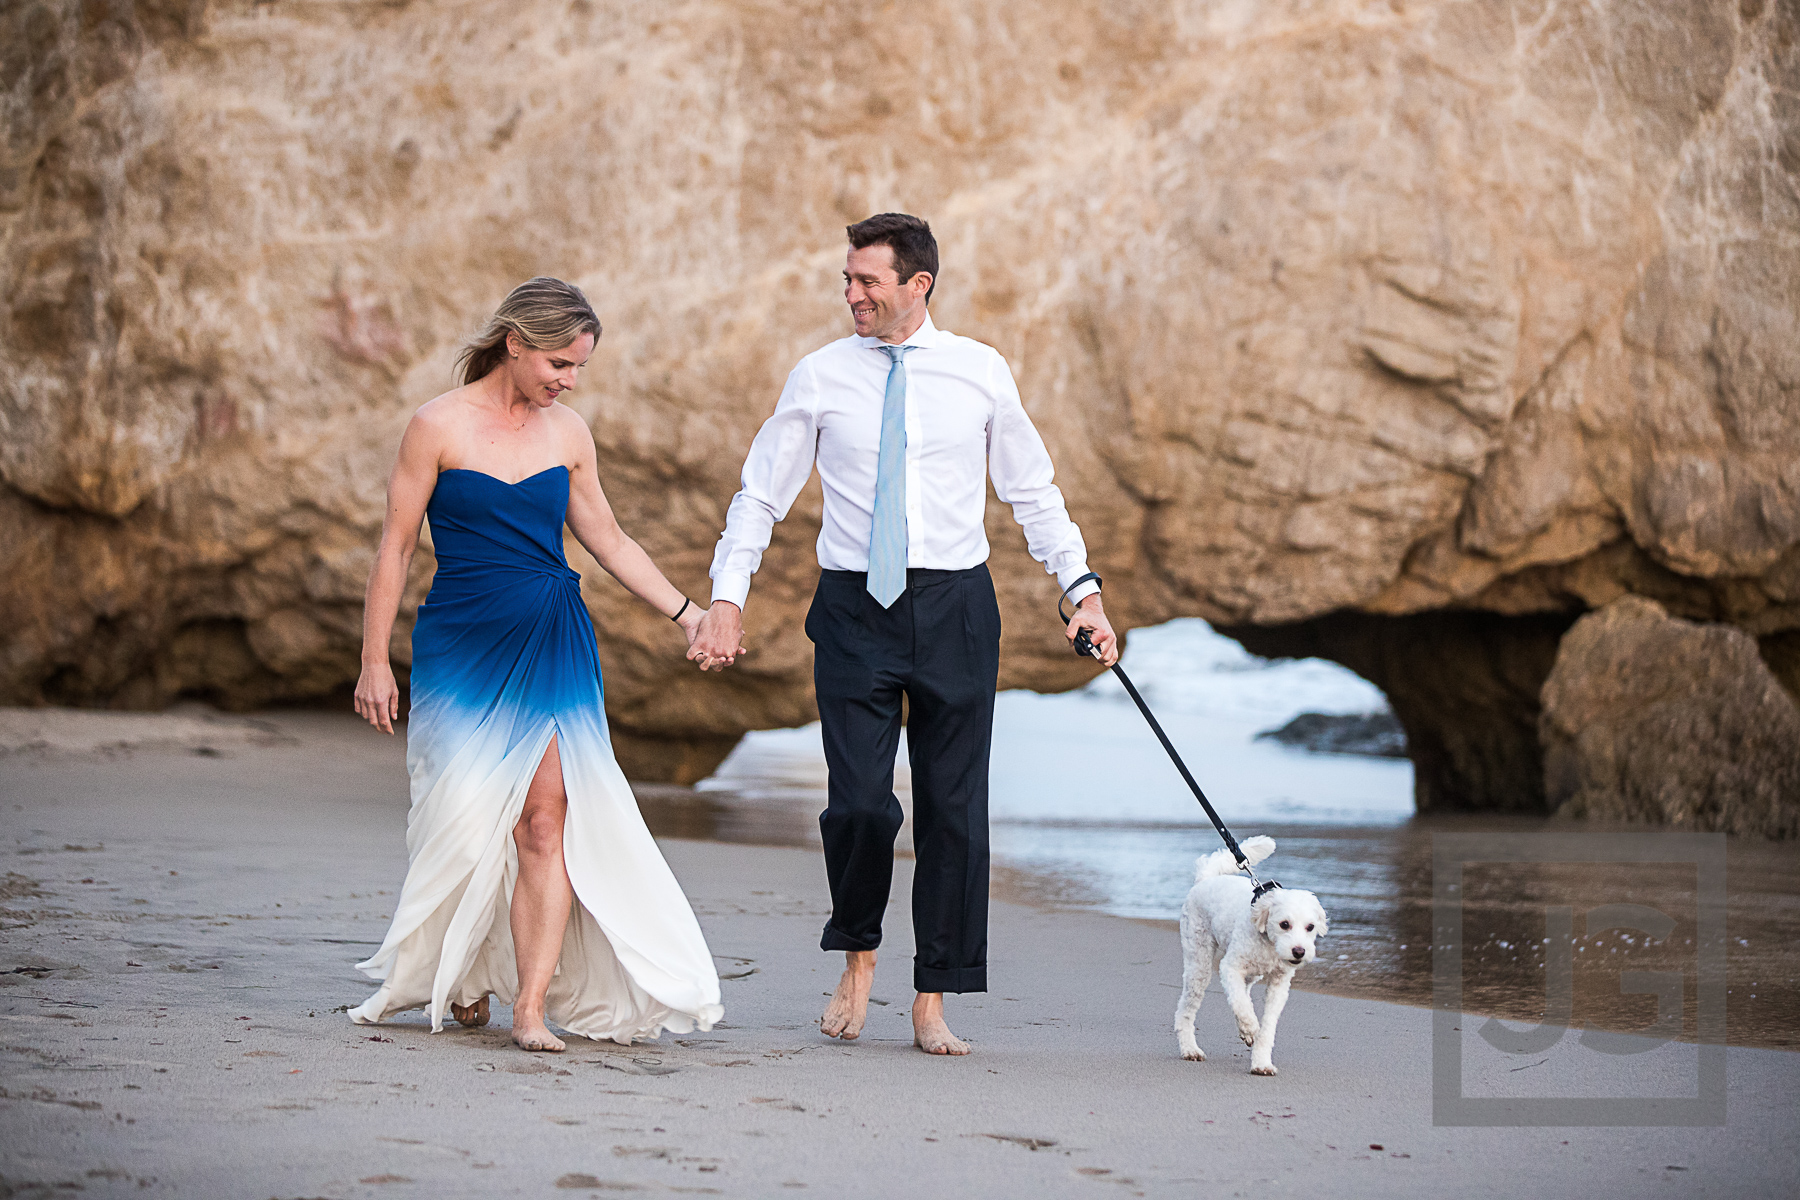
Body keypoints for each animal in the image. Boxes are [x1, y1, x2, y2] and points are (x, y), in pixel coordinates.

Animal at [1173, 834, 1332, 1079]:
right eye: (1284, 924)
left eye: (1310, 927)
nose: (1299, 952)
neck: (1268, 943)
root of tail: (1205, 880)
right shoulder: (1230, 967)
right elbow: (1241, 1005)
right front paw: (1250, 1028)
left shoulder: (1279, 984)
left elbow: (1266, 1025)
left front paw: (1261, 1061)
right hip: (1198, 964)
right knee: (1188, 1009)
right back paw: (1190, 1048)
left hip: (1248, 975)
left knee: (1242, 993)